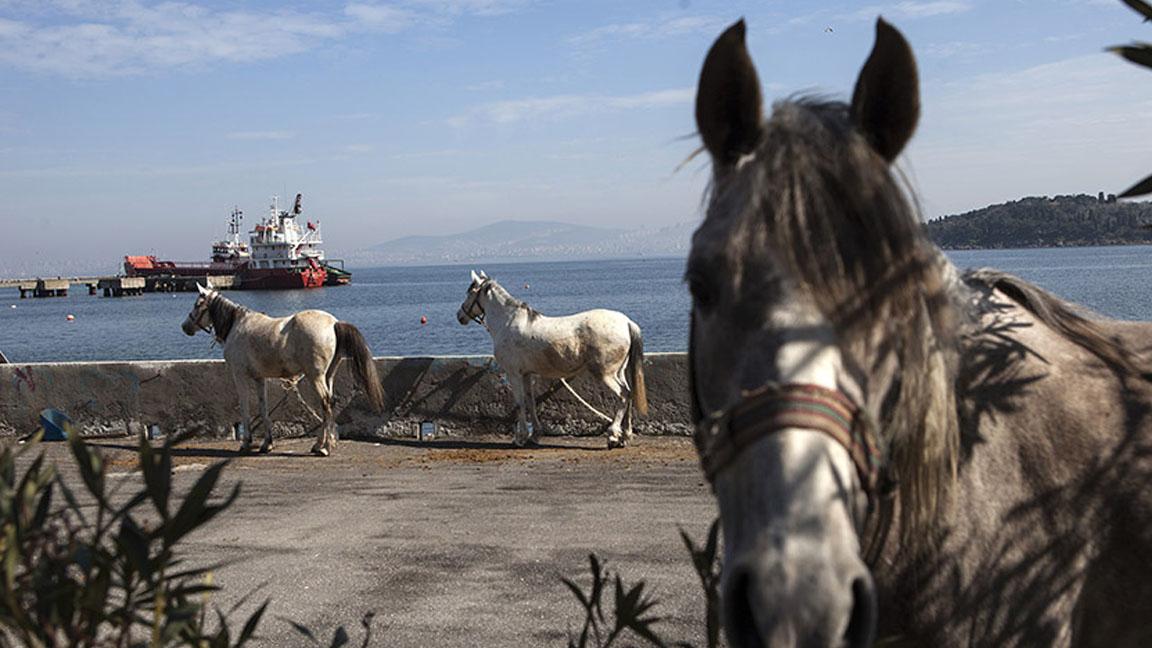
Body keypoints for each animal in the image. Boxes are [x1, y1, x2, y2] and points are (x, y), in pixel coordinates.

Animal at [179, 284, 384, 456]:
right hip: (328, 375)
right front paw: (266, 444)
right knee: (328, 404)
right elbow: (263, 408)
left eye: (197, 304)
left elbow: (245, 407)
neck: (235, 326)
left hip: (315, 376)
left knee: (326, 403)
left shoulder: (240, 375)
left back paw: (324, 448)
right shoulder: (259, 378)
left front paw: (246, 443)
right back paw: (320, 444)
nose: (185, 327)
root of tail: (334, 323)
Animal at [453, 269, 649, 447]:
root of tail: (626, 322)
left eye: (470, 292)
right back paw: (625, 436)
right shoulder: (526, 374)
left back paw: (613, 436)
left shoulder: (513, 373)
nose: (459, 316)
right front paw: (534, 435)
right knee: (629, 393)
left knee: (623, 395)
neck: (508, 323)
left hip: (605, 374)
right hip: (619, 371)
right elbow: (530, 401)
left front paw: (520, 438)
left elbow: (519, 403)